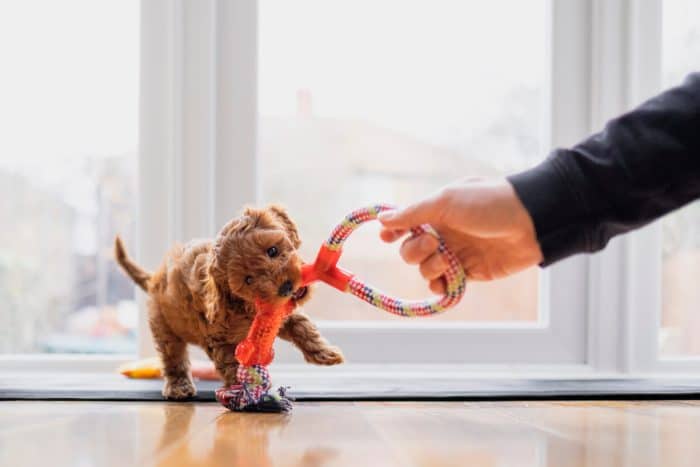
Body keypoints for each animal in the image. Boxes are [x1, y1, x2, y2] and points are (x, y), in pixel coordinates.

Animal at [114, 207, 344, 400]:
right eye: (248, 280)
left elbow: (302, 327)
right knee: (173, 358)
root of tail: (154, 278)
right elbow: (231, 363)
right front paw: (244, 390)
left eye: (272, 250)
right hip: (164, 326)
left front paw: (324, 353)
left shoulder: (281, 313)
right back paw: (179, 387)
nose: (285, 287)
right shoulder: (219, 338)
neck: (247, 304)